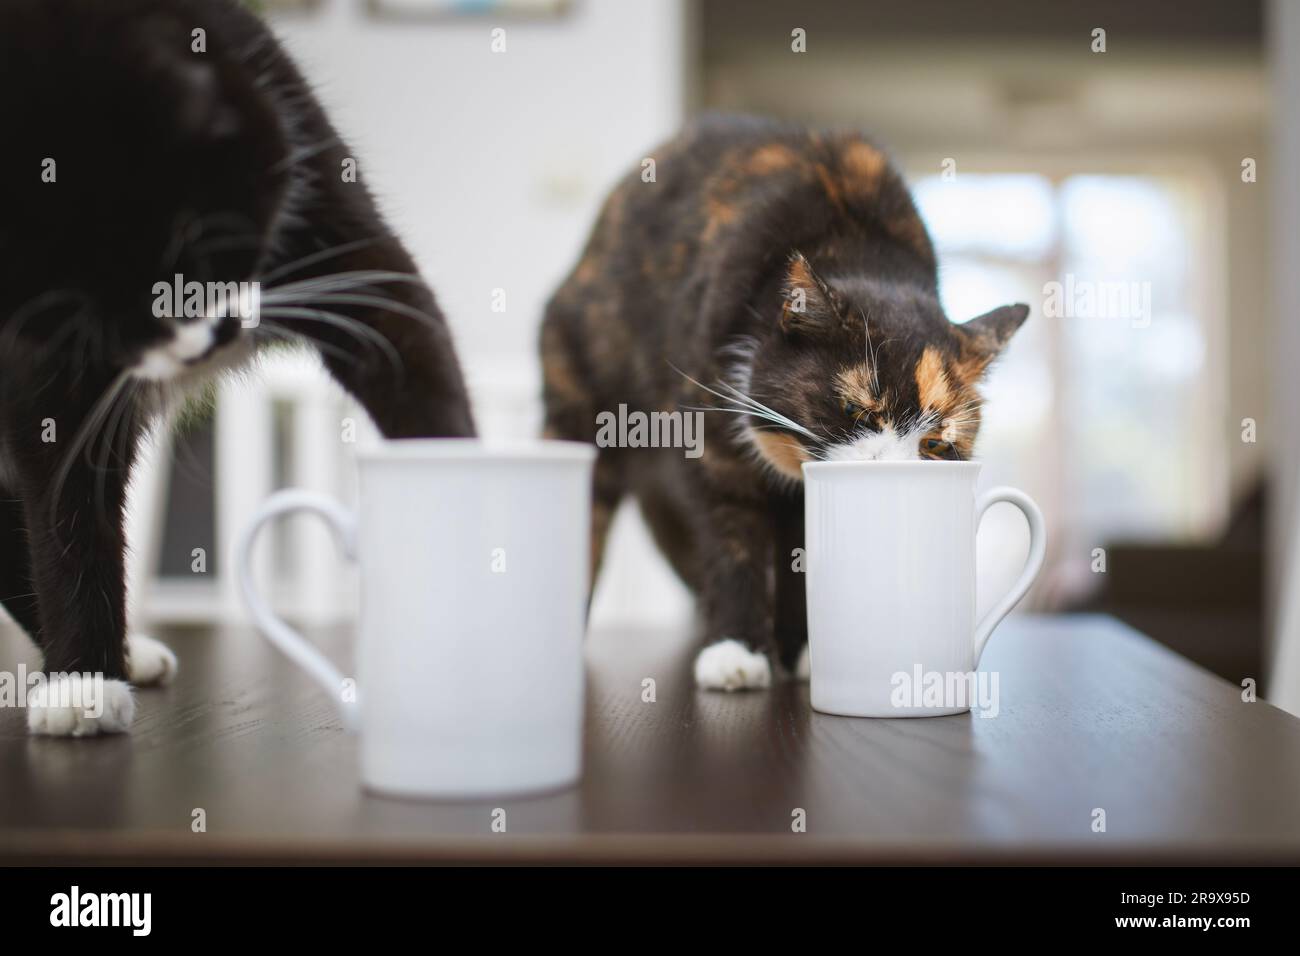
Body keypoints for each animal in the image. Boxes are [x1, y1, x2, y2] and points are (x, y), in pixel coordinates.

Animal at [0, 0, 478, 738]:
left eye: (192, 241)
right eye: (77, 310)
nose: (200, 343)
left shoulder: (313, 168)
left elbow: (401, 326)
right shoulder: (38, 360)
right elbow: (63, 494)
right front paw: (81, 681)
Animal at [538, 115, 1024, 691]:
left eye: (935, 444)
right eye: (857, 411)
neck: (857, 246)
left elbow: (803, 559)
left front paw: (806, 651)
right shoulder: (712, 449)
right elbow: (733, 543)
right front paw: (736, 651)